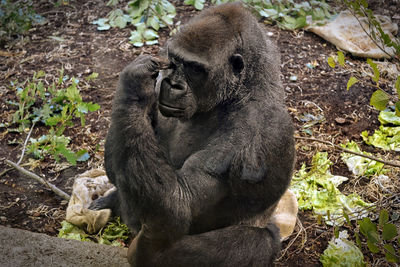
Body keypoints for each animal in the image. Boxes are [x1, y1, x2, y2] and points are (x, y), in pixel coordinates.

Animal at [92, 2, 296, 267]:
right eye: (175, 61)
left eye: (194, 68)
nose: (173, 84)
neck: (238, 93)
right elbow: (120, 153)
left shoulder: (256, 130)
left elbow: (179, 204)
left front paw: (134, 84)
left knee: (263, 240)